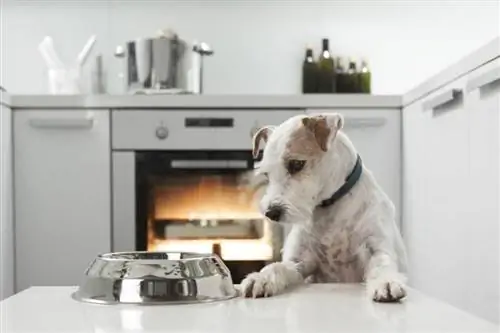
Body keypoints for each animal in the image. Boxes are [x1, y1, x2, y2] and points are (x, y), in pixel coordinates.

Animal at [240, 111, 408, 300]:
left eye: (296, 164)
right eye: (266, 174)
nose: (271, 212)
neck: (329, 206)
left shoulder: (377, 248)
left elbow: (382, 265)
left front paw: (386, 282)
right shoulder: (298, 261)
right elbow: (277, 266)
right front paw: (260, 278)